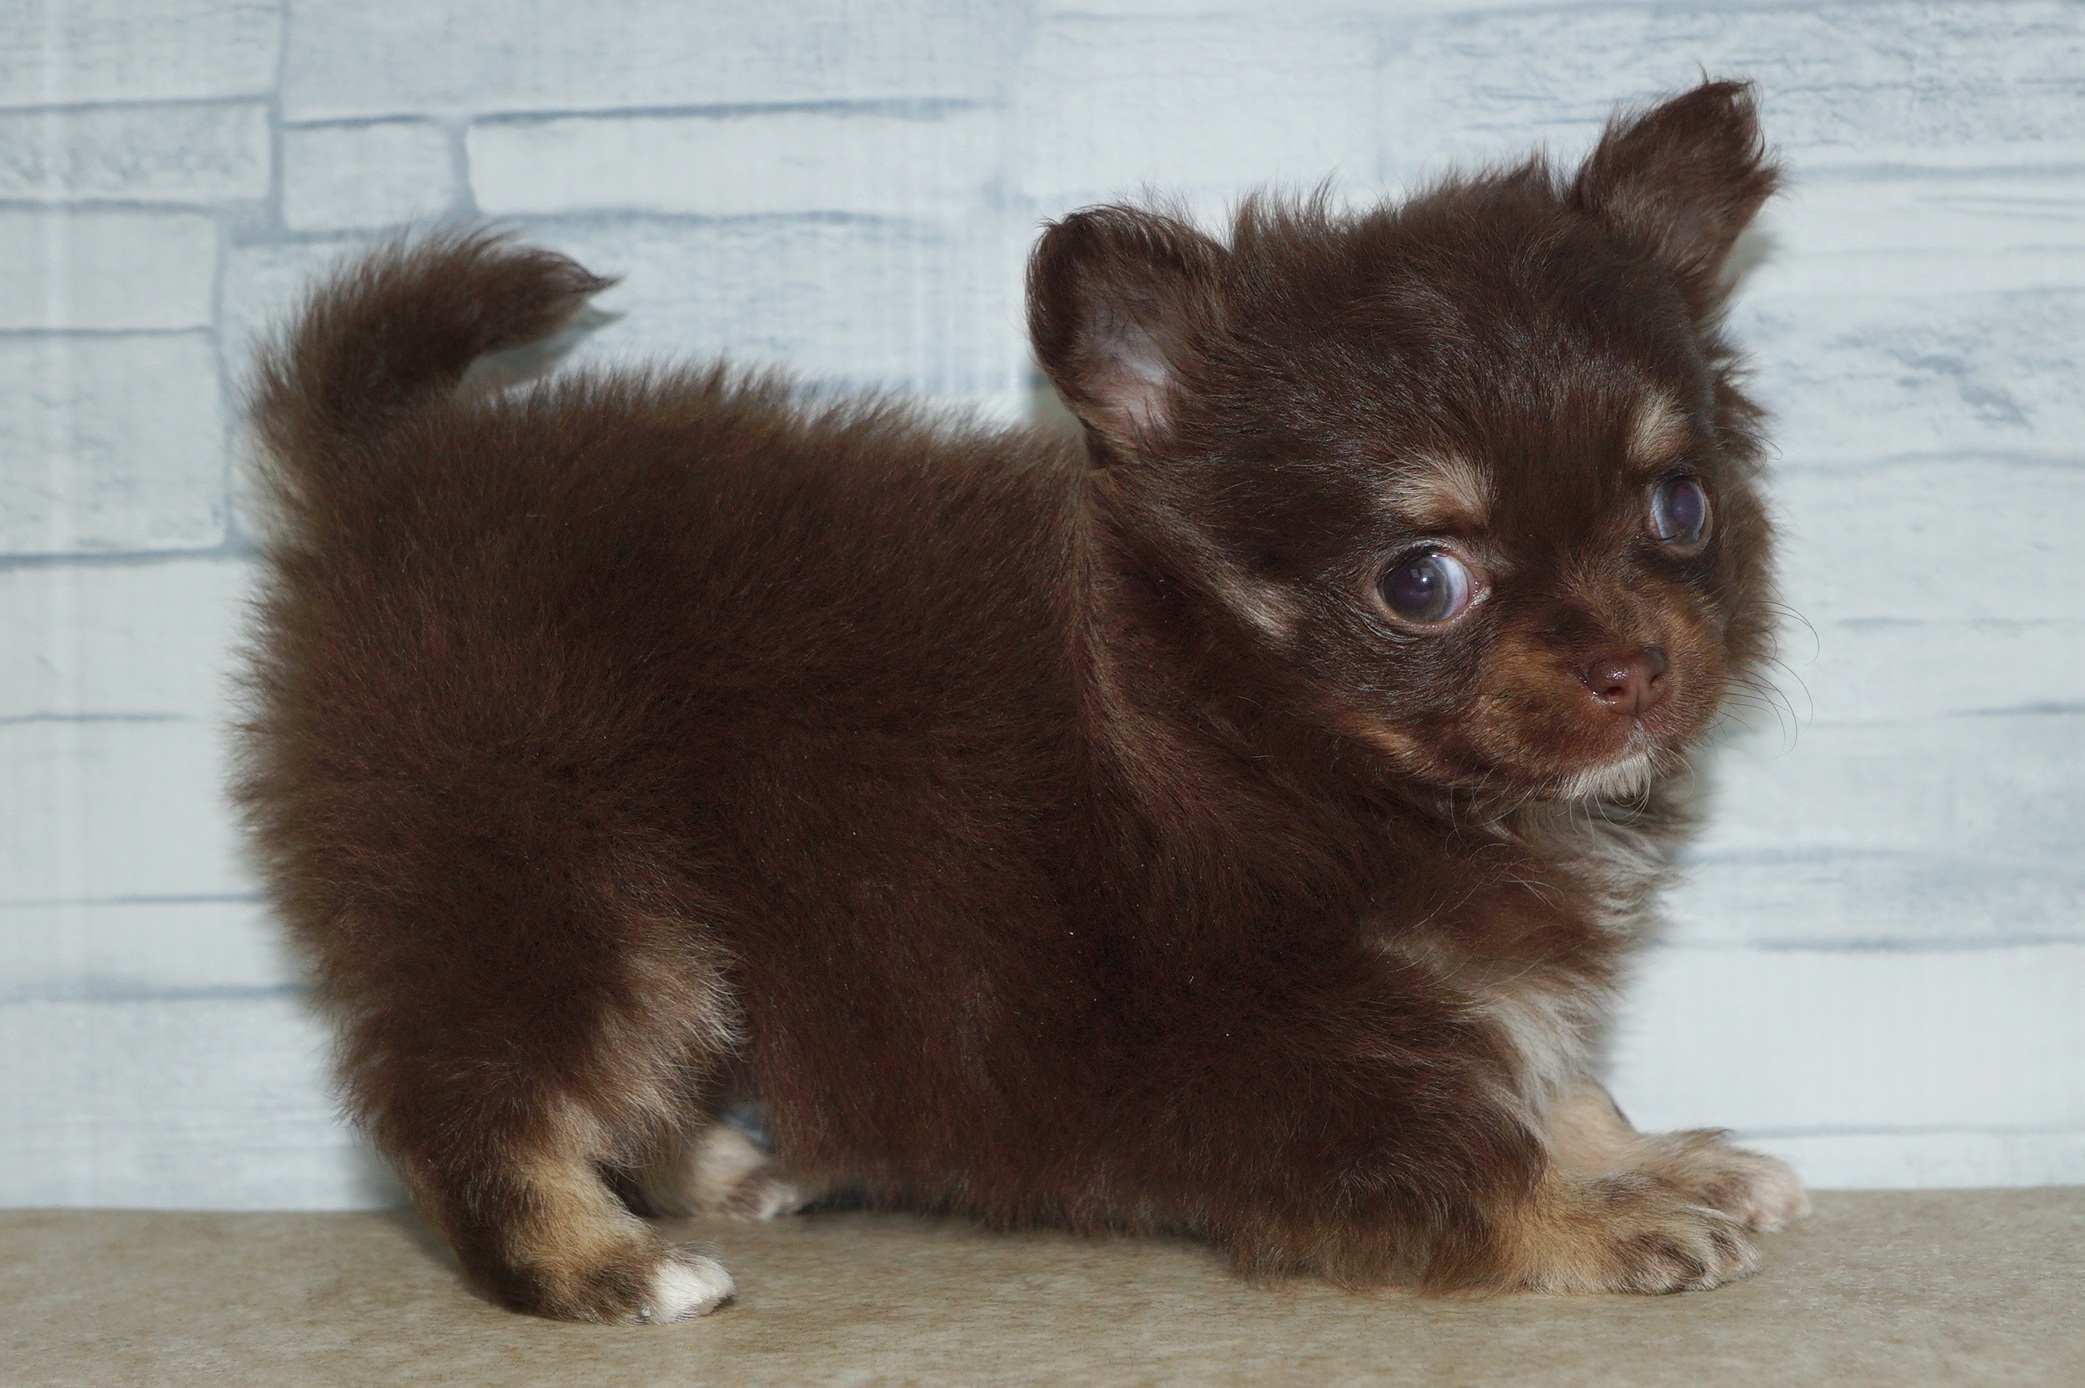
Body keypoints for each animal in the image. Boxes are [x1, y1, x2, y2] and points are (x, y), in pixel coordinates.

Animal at [236, 78, 1809, 1317]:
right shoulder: (1278, 1048)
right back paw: (594, 1263)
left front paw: (1648, 1150)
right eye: (1421, 580)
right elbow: (1461, 1151)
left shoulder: (1452, 993)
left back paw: (718, 1172)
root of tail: (378, 480)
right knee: (480, 1093)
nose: (1635, 666)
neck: (1253, 722)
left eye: (1678, 505)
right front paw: (1600, 1214)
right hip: (548, 874)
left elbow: (1552, 1077)